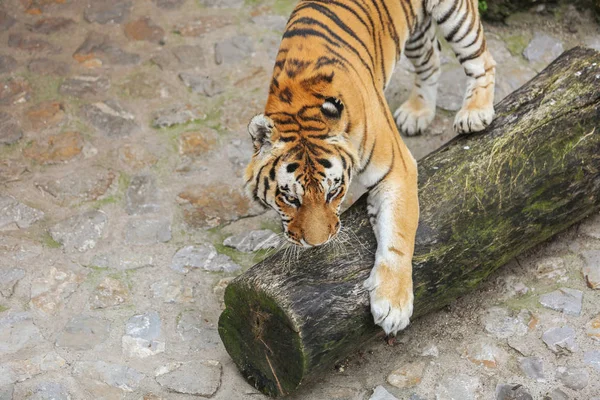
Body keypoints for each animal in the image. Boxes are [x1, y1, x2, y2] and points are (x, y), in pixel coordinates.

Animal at [244, 0, 496, 336]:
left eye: (333, 192)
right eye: (290, 198)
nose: (318, 244)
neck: (299, 103)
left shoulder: (397, 171)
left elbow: (398, 237)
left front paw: (393, 306)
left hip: (455, 16)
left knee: (481, 58)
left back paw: (474, 112)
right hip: (414, 34)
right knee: (431, 59)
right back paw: (417, 113)